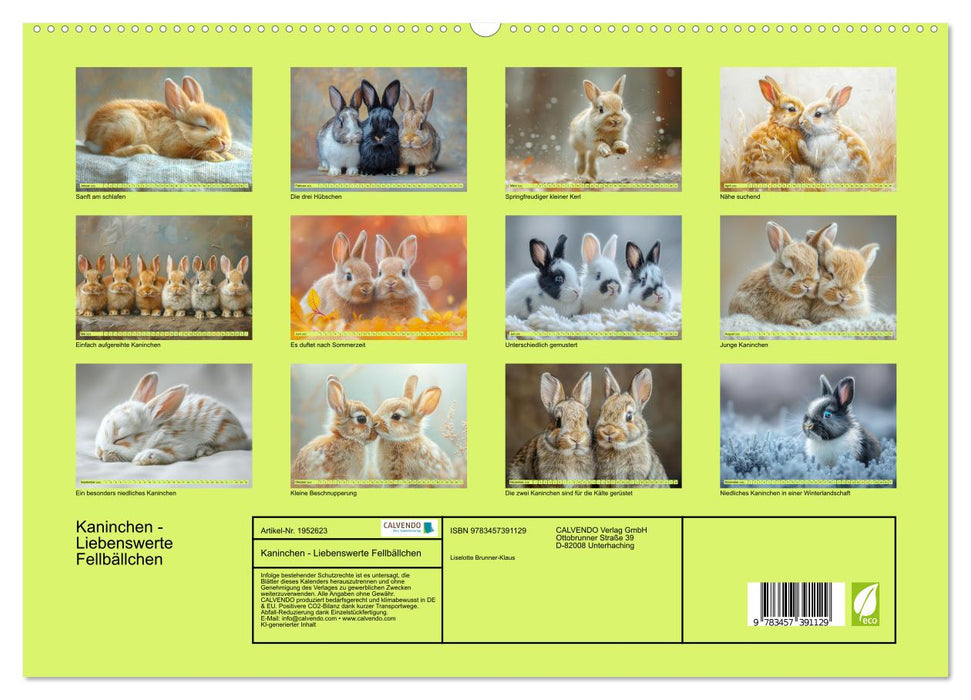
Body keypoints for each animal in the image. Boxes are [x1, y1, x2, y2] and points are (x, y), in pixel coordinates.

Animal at [84, 76, 234, 162]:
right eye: (203, 126)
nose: (225, 142)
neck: (180, 128)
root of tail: (90, 137)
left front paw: (229, 156)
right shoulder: (175, 147)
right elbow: (194, 151)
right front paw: (215, 157)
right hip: (126, 126)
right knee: (110, 151)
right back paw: (146, 150)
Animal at [95, 372, 250, 465]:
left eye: (121, 439)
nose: (100, 454)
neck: (156, 433)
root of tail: (243, 435)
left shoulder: (177, 446)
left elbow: (168, 454)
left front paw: (143, 458)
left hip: (224, 434)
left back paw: (203, 450)